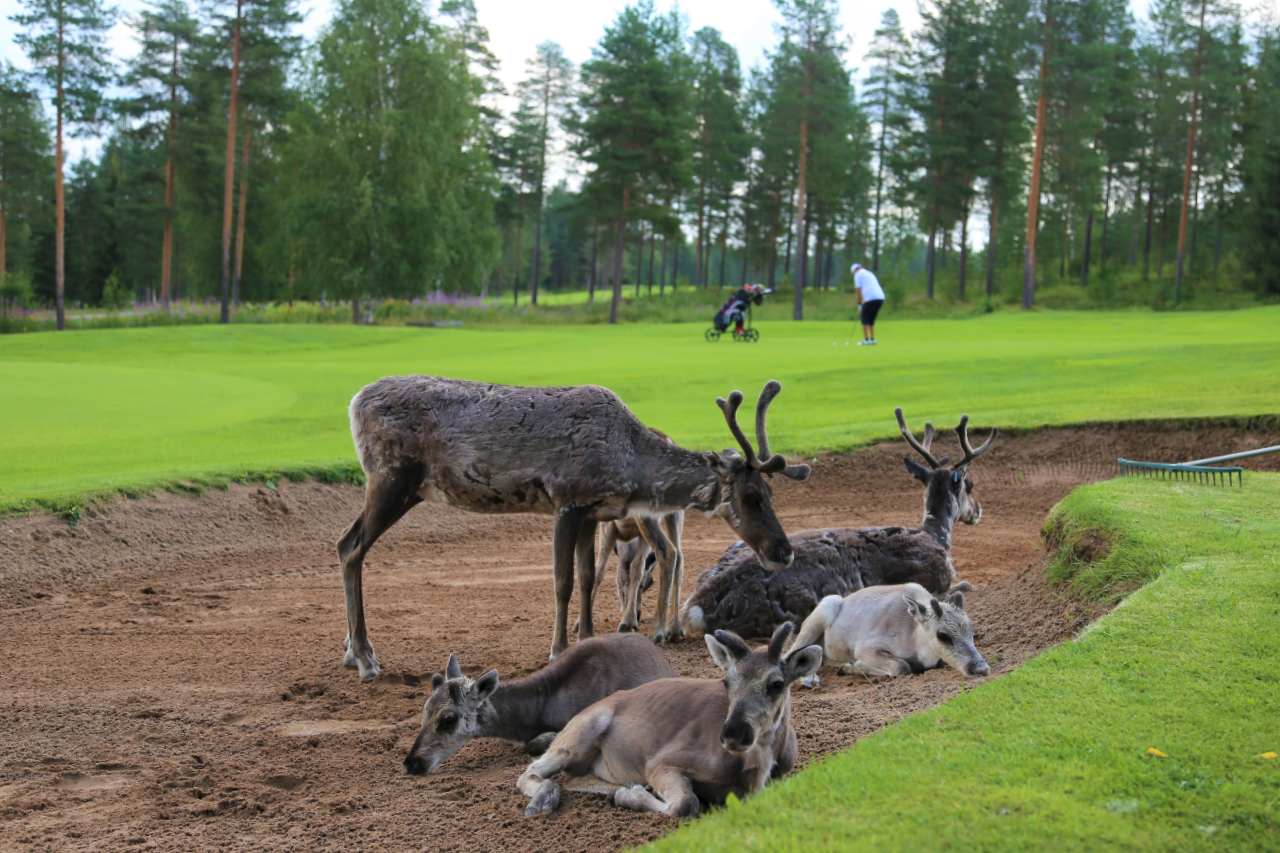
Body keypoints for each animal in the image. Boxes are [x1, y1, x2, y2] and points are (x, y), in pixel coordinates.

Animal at [335, 376, 803, 676]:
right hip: (393, 478)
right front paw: (558, 648)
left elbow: (586, 576)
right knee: (349, 545)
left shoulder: (592, 512)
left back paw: (350, 651)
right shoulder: (568, 499)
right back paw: (365, 657)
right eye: (752, 496)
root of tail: (353, 402)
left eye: (771, 491)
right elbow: (562, 580)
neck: (630, 466)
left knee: (346, 543)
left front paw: (589, 639)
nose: (784, 551)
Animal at [517, 622, 819, 814]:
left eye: (777, 684)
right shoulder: (662, 761)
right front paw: (631, 796)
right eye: (726, 681)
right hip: (580, 733)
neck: (754, 772)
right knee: (531, 772)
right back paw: (543, 801)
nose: (733, 733)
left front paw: (628, 792)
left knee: (573, 778)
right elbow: (686, 803)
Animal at [675, 407, 993, 637]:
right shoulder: (937, 579)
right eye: (969, 485)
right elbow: (963, 585)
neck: (936, 534)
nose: (978, 510)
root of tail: (694, 607)